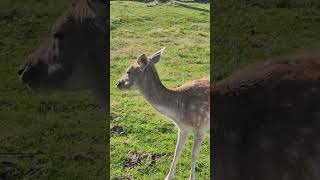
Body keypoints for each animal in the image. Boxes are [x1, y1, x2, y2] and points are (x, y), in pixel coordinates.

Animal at [117, 47, 210, 180]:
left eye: (128, 71)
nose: (117, 83)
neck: (179, 111)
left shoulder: (201, 126)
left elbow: (194, 154)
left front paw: (192, 178)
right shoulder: (183, 128)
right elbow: (177, 151)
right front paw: (168, 177)